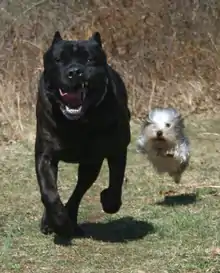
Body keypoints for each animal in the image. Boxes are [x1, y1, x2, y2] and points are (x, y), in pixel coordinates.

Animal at [34, 30, 131, 237]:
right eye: (59, 59)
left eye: (89, 59)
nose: (75, 72)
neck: (77, 123)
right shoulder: (45, 154)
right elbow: (49, 191)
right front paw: (59, 222)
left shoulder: (115, 150)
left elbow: (116, 181)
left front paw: (108, 200)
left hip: (90, 164)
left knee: (80, 190)